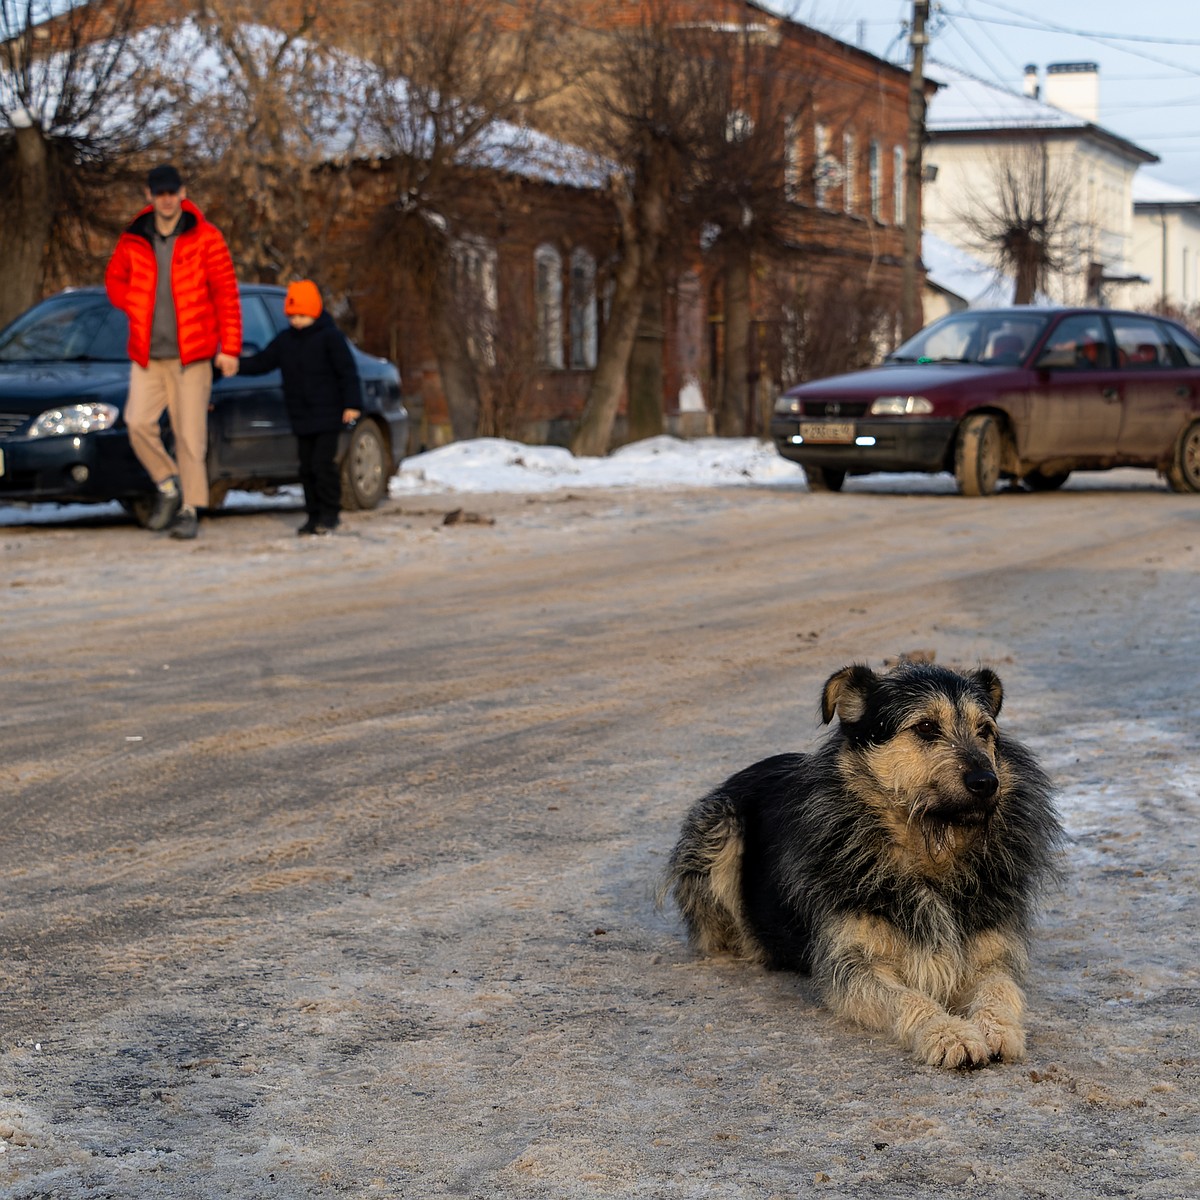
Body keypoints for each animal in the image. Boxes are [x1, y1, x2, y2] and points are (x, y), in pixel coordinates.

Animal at [662, 667, 1065, 1070]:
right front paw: (948, 1033)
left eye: (985, 730)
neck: (930, 853)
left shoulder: (994, 952)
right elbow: (907, 998)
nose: (986, 783)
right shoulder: (852, 963)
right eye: (925, 727)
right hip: (718, 827)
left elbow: (1000, 987)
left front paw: (998, 1028)